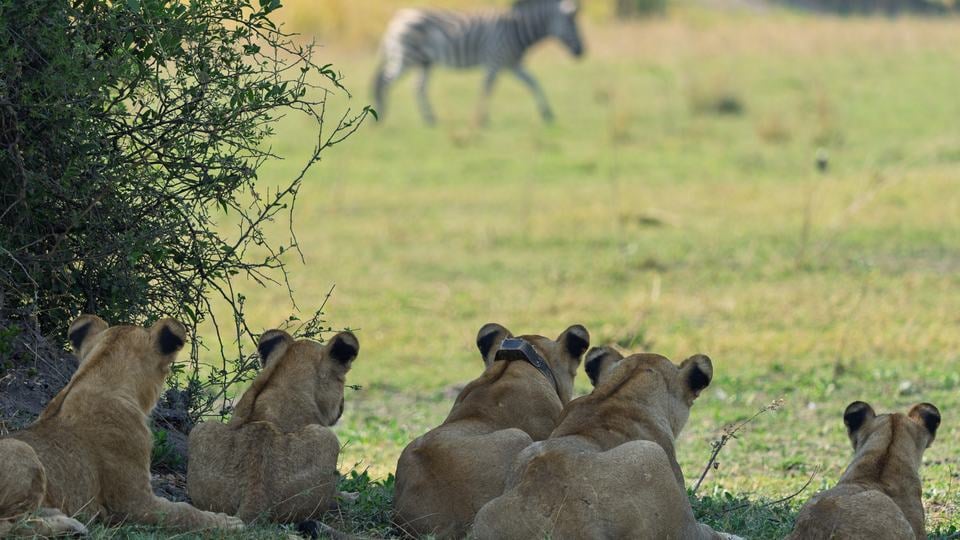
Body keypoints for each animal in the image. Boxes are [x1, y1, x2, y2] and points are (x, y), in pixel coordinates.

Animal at [0, 315, 244, 536]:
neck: (95, 375)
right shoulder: (134, 504)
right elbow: (183, 512)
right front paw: (228, 522)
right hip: (21, 449)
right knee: (10, 526)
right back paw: (70, 526)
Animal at [372, 0, 584, 125]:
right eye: (572, 25)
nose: (582, 52)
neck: (516, 29)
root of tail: (399, 16)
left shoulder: (513, 64)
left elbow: (533, 83)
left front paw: (547, 113)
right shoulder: (494, 60)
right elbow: (487, 88)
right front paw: (482, 119)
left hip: (424, 61)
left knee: (418, 87)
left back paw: (430, 119)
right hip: (407, 58)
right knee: (385, 82)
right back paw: (382, 116)